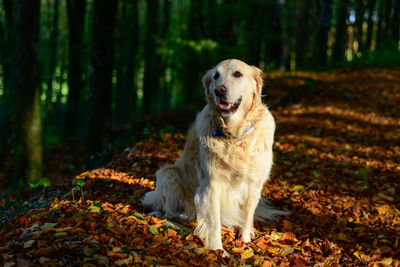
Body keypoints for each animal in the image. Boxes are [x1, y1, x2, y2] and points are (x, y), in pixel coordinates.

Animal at [142, 58, 286, 251]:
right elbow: (213, 223)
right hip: (168, 174)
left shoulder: (254, 185)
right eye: (216, 76)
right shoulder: (211, 185)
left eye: (237, 74)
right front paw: (217, 250)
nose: (219, 90)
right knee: (169, 209)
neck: (235, 136)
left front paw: (245, 242)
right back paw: (175, 216)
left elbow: (247, 217)